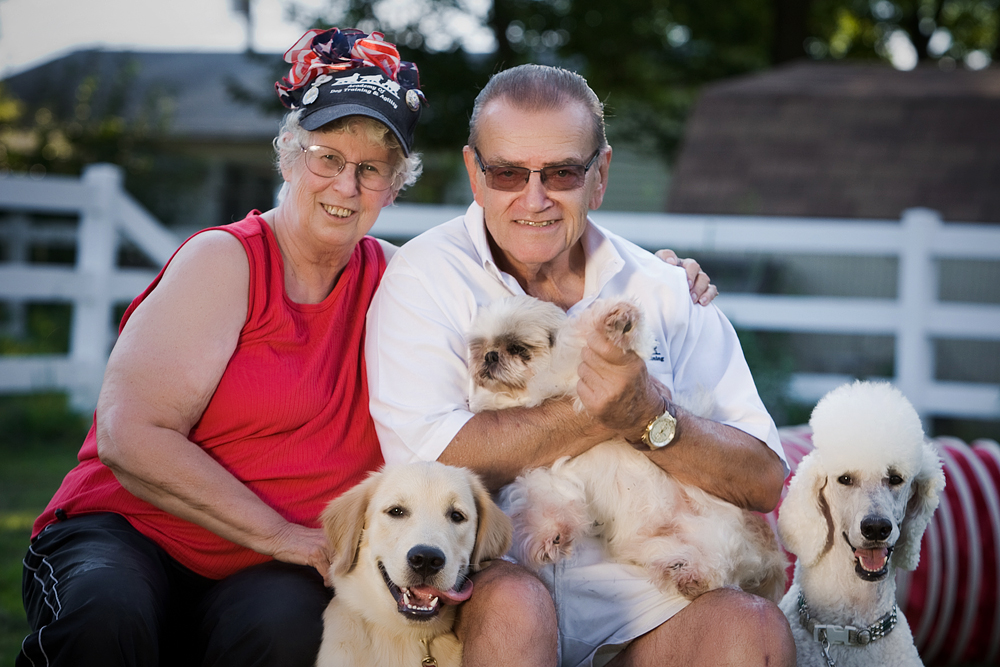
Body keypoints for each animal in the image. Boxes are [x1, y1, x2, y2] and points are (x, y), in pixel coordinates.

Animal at [468, 294, 788, 604]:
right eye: (479, 348)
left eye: (517, 348)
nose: (490, 356)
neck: (534, 389)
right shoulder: (543, 470)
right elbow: (544, 497)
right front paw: (550, 535)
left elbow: (578, 340)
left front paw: (614, 320)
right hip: (659, 540)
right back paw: (679, 567)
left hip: (716, 523)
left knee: (719, 562)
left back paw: (694, 573)